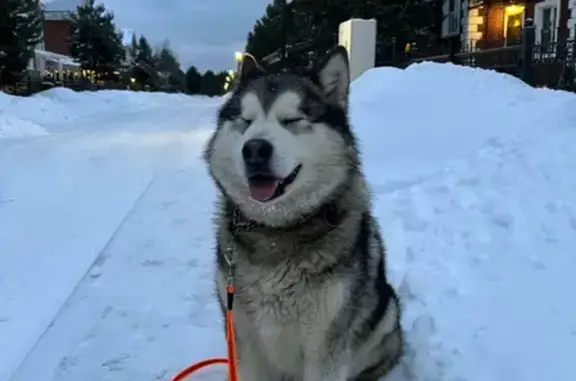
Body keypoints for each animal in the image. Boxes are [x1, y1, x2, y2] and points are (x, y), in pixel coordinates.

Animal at [205, 47, 402, 380]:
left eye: (292, 119)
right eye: (245, 121)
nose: (254, 149)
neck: (275, 232)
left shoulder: (326, 347)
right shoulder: (243, 339)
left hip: (385, 314)